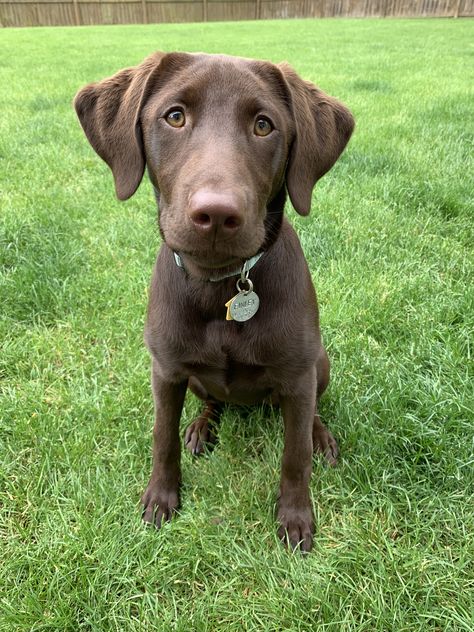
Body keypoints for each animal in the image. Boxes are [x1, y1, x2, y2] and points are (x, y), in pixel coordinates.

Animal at [74, 51, 354, 552]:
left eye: (264, 125)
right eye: (175, 116)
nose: (218, 214)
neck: (220, 285)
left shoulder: (298, 375)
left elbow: (295, 454)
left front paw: (295, 517)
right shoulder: (165, 370)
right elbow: (162, 438)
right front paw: (161, 498)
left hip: (318, 364)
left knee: (309, 416)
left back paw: (320, 435)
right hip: (196, 380)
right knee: (212, 402)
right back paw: (202, 426)